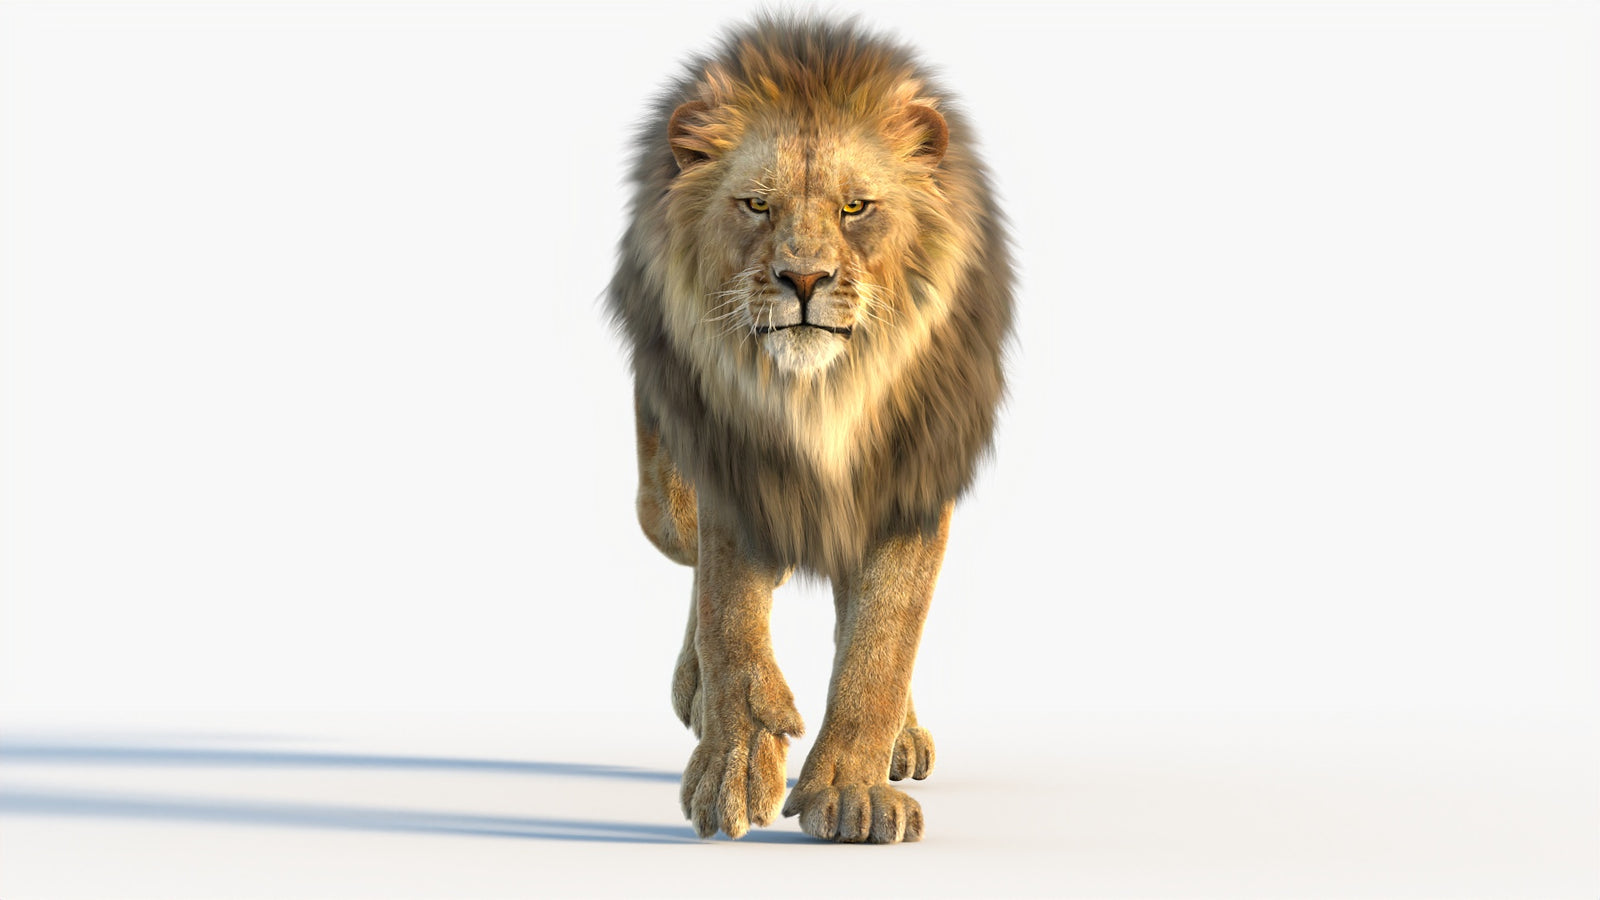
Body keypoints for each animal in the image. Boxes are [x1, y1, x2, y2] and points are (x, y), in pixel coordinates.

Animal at [606, 16, 1013, 844]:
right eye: (757, 205)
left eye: (857, 208)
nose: (803, 279)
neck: (824, 396)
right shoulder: (731, 467)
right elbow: (729, 614)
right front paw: (735, 765)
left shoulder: (914, 479)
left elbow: (883, 639)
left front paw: (852, 793)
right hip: (660, 495)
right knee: (690, 555)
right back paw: (697, 691)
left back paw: (900, 738)